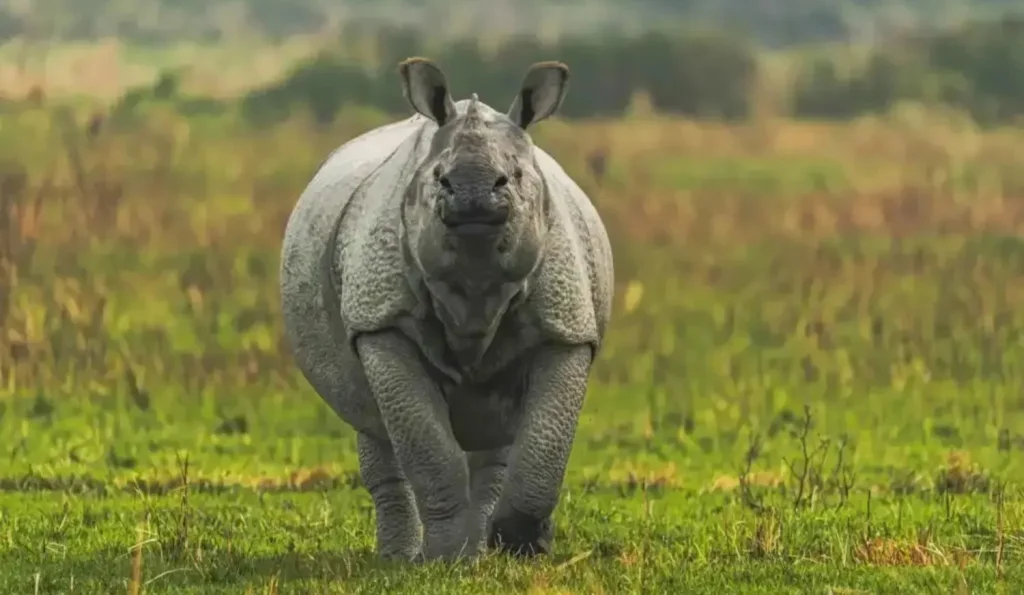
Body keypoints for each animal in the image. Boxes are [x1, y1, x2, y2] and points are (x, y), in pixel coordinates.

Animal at [279, 57, 614, 562]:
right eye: (439, 178)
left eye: (514, 175)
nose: (473, 193)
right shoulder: (382, 321)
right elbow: (428, 448)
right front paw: (442, 558)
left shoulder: (566, 325)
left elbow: (545, 442)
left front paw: (522, 547)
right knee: (371, 422)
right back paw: (403, 559)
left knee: (496, 435)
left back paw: (482, 551)